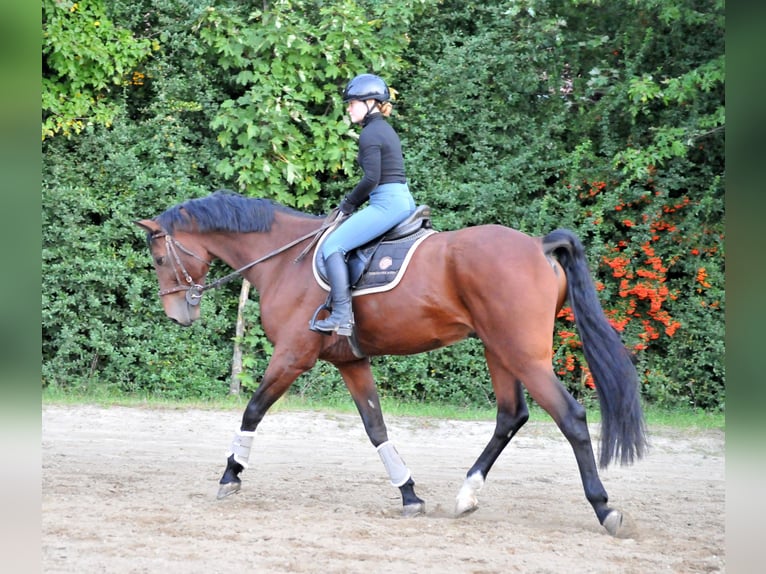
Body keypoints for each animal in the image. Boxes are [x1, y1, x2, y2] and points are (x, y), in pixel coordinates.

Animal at [135, 190, 647, 536]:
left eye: (159, 258)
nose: (177, 315)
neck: (286, 259)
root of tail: (539, 247)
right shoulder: (351, 363)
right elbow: (375, 427)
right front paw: (409, 494)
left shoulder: (293, 356)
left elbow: (253, 410)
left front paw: (230, 476)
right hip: (498, 349)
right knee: (511, 415)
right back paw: (465, 495)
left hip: (522, 352)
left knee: (571, 417)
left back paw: (604, 508)